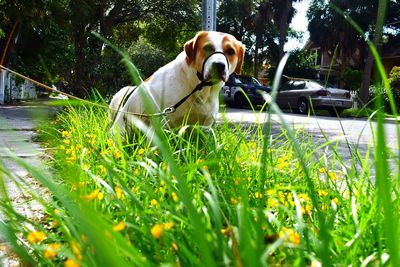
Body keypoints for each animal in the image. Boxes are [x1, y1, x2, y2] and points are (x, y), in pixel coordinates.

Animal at [109, 30, 245, 137]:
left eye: (231, 51)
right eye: (207, 48)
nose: (219, 65)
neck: (197, 88)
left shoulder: (205, 127)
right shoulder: (162, 124)